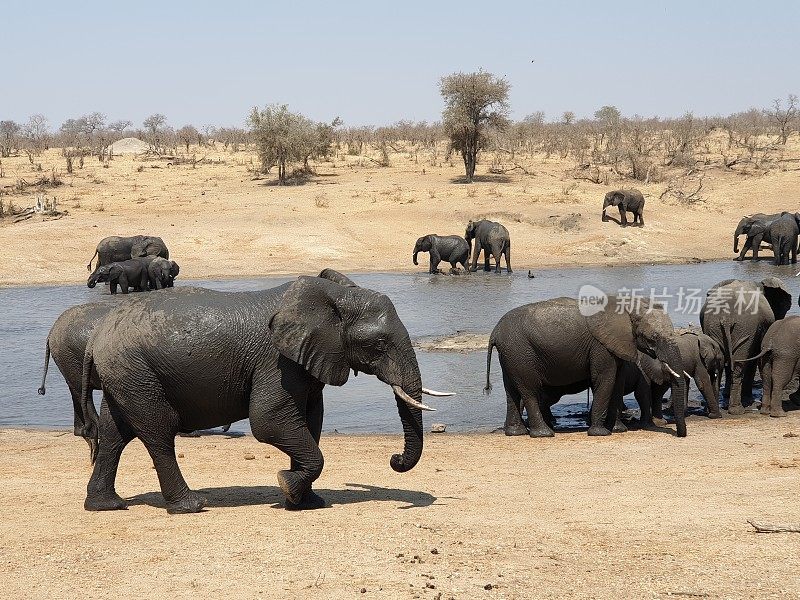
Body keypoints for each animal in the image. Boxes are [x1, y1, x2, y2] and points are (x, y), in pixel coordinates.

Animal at [79, 270, 450, 512]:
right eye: (379, 344)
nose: (394, 459)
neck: (332, 297)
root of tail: (97, 336)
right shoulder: (276, 361)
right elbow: (269, 420)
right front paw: (287, 486)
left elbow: (311, 421)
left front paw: (306, 501)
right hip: (136, 372)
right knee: (158, 433)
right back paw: (191, 505)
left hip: (125, 374)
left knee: (114, 434)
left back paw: (106, 505)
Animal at [488, 296, 688, 436]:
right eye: (653, 338)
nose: (680, 435)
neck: (627, 306)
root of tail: (495, 332)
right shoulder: (600, 346)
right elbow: (604, 379)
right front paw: (601, 433)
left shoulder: (615, 345)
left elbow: (617, 382)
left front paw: (618, 430)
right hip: (520, 352)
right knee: (529, 390)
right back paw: (544, 434)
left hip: (510, 355)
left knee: (511, 392)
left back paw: (516, 433)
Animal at [704, 278, 792, 414]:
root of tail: (726, 318)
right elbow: (753, 360)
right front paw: (747, 398)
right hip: (745, 328)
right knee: (739, 365)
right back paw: (737, 410)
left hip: (714, 328)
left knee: (719, 367)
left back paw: (714, 410)